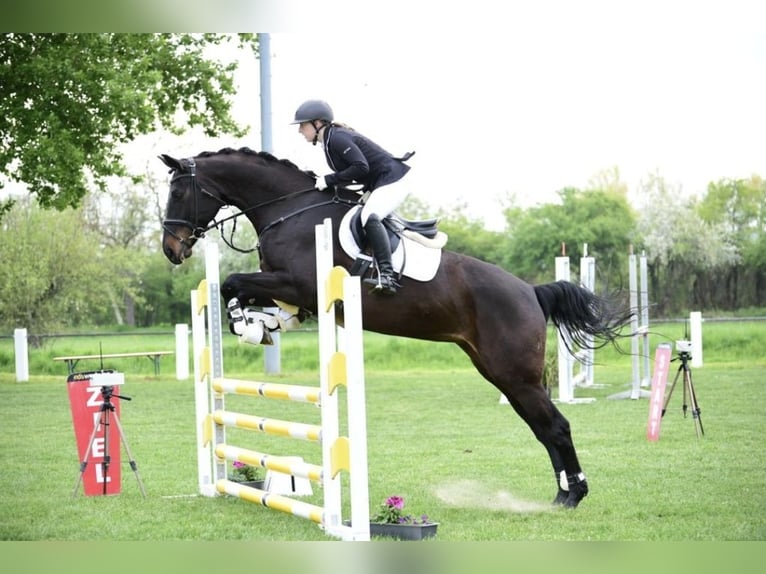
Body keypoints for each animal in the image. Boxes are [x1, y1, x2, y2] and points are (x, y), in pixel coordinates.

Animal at [159, 146, 632, 510]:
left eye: (179, 191)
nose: (171, 249)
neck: (288, 211)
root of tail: (531, 291)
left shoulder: (299, 285)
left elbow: (232, 282)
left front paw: (247, 325)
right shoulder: (293, 294)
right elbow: (248, 295)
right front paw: (260, 325)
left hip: (516, 373)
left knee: (556, 427)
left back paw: (573, 496)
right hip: (500, 372)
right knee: (543, 428)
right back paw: (563, 495)